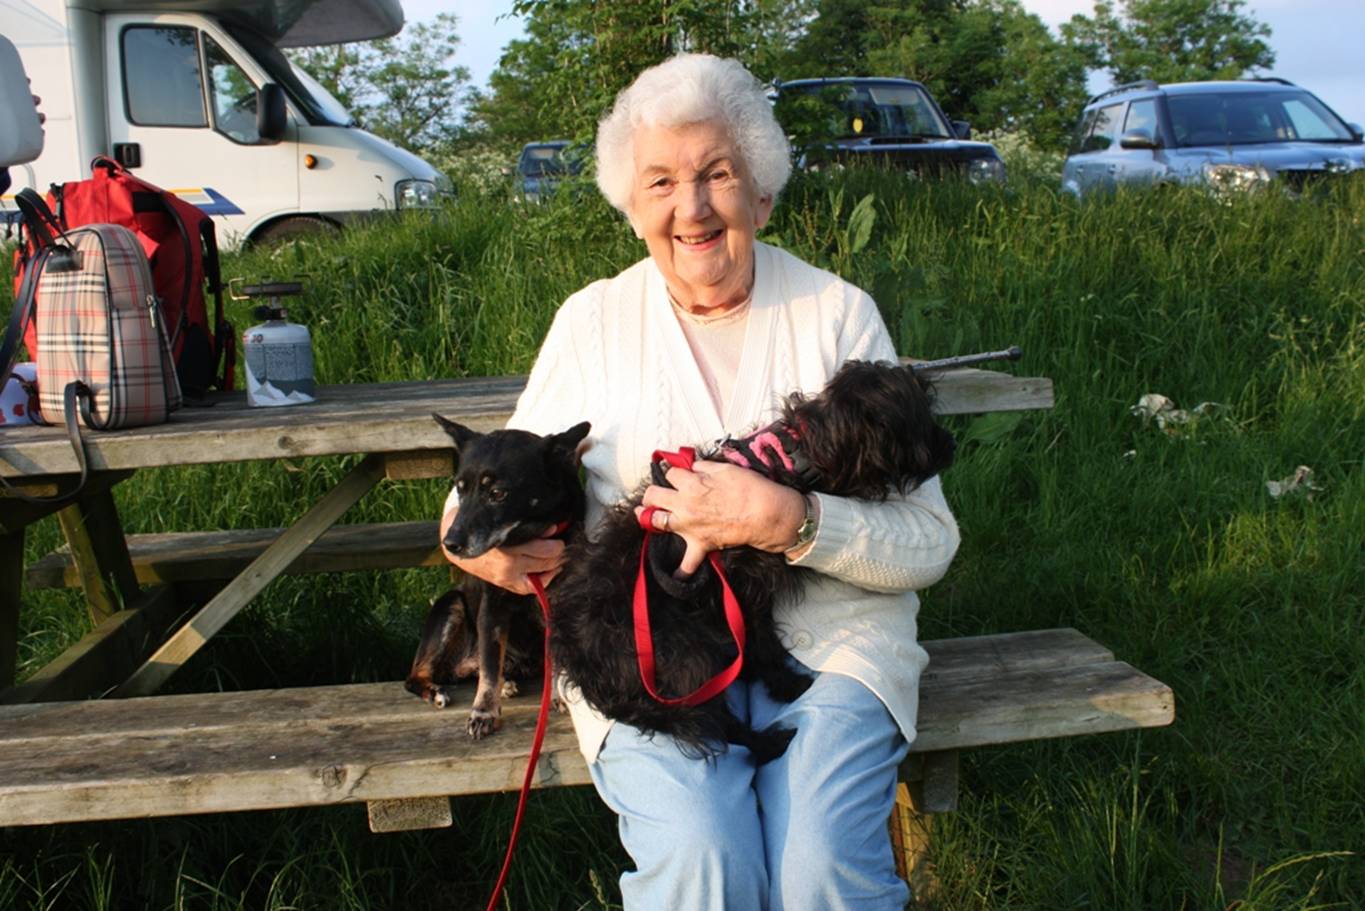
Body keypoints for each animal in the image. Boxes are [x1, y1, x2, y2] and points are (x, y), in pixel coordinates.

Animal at [406, 416, 591, 738]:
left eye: (497, 494)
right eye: (459, 489)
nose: (450, 543)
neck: (530, 535)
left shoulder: (560, 608)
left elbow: (557, 659)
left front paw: (557, 695)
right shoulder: (491, 611)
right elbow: (490, 669)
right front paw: (483, 711)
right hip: (451, 605)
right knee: (418, 675)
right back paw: (437, 690)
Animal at [549, 359, 957, 763]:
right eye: (922, 419)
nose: (951, 444)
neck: (797, 452)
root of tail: (584, 665)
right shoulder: (741, 586)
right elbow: (761, 640)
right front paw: (784, 682)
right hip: (681, 656)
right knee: (711, 722)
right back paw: (767, 743)